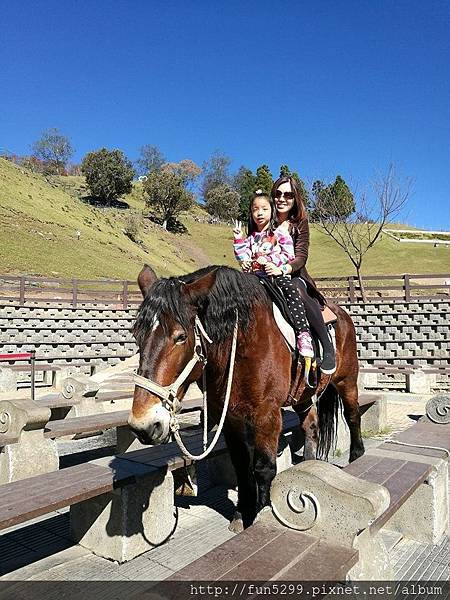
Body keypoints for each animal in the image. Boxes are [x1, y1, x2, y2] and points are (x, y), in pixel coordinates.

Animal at [128, 262, 364, 528]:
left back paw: (357, 456)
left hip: (347, 380)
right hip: (303, 394)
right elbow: (241, 465)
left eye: (180, 336)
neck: (240, 344)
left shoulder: (267, 414)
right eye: (137, 334)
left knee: (353, 415)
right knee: (311, 427)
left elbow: (263, 467)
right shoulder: (229, 417)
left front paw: (260, 512)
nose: (144, 425)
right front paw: (242, 513)